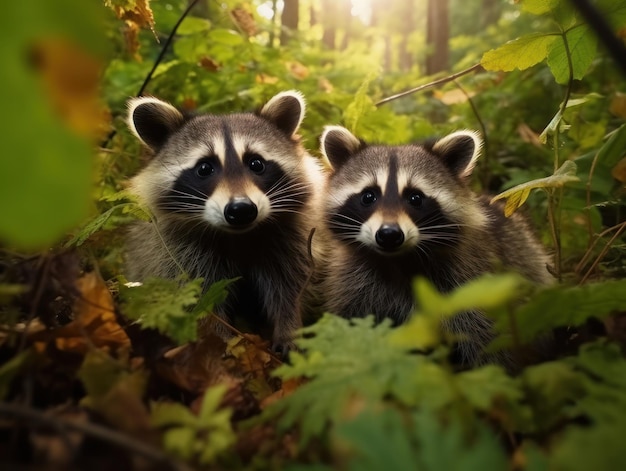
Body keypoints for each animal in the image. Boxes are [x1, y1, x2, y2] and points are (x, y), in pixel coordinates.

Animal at [125, 92, 324, 354]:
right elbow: (203, 298)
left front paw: (289, 327)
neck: (238, 235)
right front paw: (220, 342)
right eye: (204, 168)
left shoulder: (289, 241)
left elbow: (290, 288)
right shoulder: (179, 252)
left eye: (256, 164)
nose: (241, 210)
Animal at [314, 127, 548, 366]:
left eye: (415, 198)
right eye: (368, 196)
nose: (389, 235)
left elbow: (488, 344)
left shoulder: (471, 283)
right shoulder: (353, 284)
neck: (396, 260)